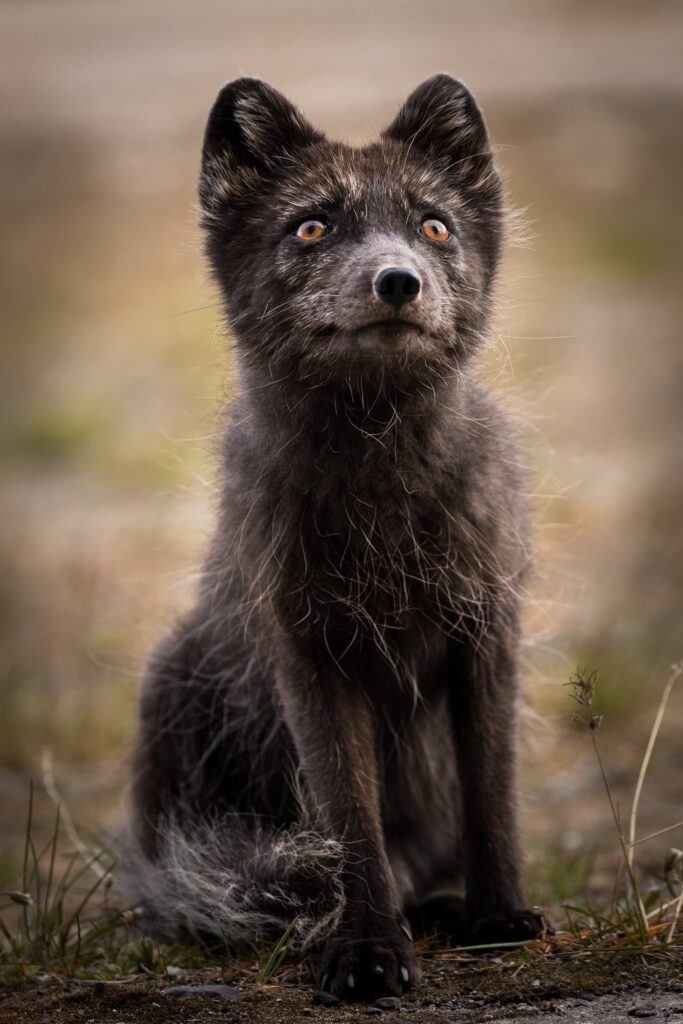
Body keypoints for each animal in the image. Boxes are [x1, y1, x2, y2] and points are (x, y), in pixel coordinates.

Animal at [126, 74, 548, 1000]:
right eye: (311, 226)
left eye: (433, 226)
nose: (398, 281)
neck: (378, 473)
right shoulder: (312, 656)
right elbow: (349, 819)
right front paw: (365, 950)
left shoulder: (485, 634)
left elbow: (492, 791)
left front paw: (498, 917)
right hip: (171, 678)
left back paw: (441, 906)